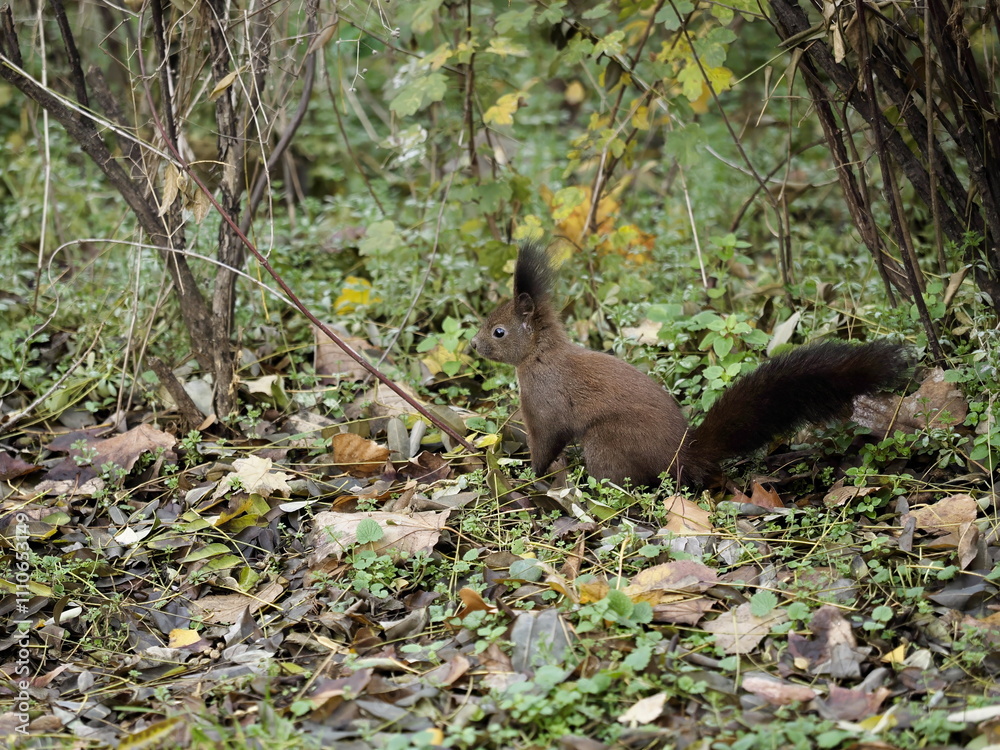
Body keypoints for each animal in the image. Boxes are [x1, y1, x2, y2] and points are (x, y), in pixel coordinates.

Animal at [470, 242, 908, 488]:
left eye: (499, 332)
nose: (473, 345)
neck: (540, 355)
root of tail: (683, 455)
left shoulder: (544, 405)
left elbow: (545, 442)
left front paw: (530, 475)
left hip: (608, 442)